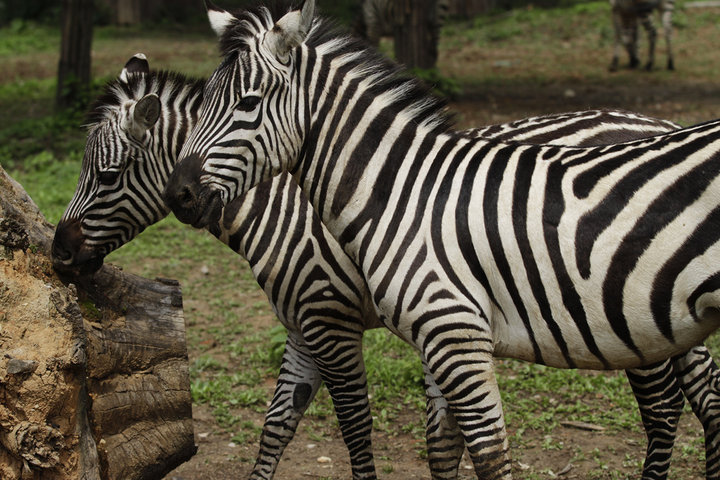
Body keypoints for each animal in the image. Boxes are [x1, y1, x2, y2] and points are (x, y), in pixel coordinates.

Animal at [50, 53, 720, 480]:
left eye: (107, 177)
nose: (57, 255)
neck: (282, 200)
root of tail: (657, 121)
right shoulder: (302, 326)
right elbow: (276, 425)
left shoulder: (329, 318)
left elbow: (354, 425)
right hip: (665, 309)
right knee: (707, 398)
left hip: (615, 309)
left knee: (663, 410)